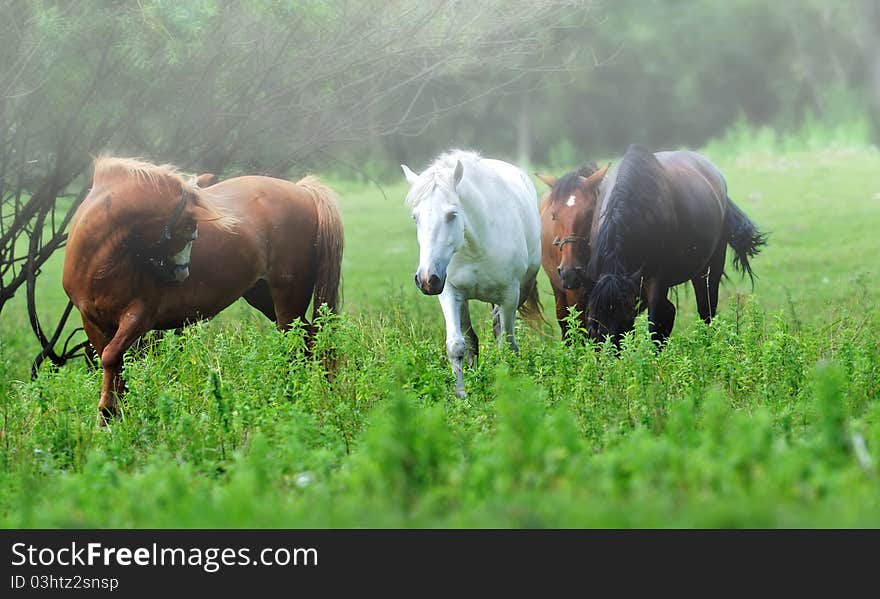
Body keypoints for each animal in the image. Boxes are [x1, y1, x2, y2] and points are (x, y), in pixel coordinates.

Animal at [62, 158, 342, 422]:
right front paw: (113, 417)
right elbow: (114, 363)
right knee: (308, 338)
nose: (181, 273)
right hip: (263, 297)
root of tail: (302, 190)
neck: (102, 260)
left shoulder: (139, 318)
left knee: (296, 343)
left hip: (289, 298)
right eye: (188, 227)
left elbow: (111, 358)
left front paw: (108, 413)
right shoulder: (94, 323)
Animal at [400, 150, 540, 398]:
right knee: (471, 339)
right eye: (415, 217)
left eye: (451, 215)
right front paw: (461, 395)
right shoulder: (448, 292)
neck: (477, 246)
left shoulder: (509, 296)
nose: (426, 279)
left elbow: (507, 344)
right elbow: (457, 345)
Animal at [584, 145, 764, 346]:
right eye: (593, 328)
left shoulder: (657, 281)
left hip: (710, 268)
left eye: (625, 323)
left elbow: (657, 324)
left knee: (707, 310)